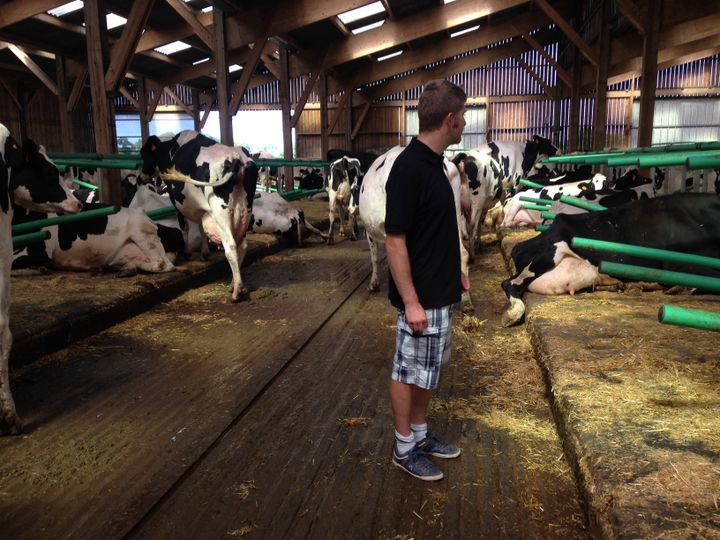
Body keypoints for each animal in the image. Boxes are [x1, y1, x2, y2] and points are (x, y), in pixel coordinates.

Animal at [139, 129, 258, 302]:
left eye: (143, 154)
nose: (140, 178)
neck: (171, 150)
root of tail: (238, 158)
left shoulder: (177, 202)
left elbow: (185, 227)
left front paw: (188, 252)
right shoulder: (203, 210)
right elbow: (202, 228)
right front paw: (205, 252)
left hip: (221, 213)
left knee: (231, 247)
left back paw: (237, 291)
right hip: (245, 211)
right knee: (242, 246)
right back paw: (233, 284)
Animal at [358, 146, 472, 310]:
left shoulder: (371, 232)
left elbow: (374, 257)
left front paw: (373, 283)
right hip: (454, 214)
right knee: (462, 252)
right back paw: (465, 299)